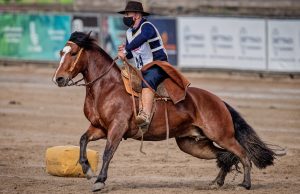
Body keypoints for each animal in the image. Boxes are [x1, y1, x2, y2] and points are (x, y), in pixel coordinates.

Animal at [52, 31, 276, 191]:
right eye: (61, 52)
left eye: (73, 53)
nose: (59, 78)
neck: (107, 87)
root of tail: (218, 101)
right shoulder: (99, 127)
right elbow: (82, 140)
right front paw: (87, 170)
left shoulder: (116, 128)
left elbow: (108, 153)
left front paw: (99, 180)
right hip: (192, 143)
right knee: (225, 156)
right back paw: (217, 182)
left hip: (221, 135)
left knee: (242, 154)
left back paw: (245, 184)